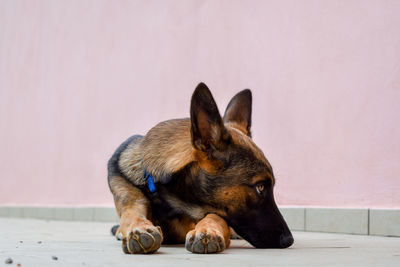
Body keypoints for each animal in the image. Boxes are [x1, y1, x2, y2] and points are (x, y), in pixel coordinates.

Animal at [108, 82, 292, 254]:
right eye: (260, 187)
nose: (289, 240)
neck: (166, 195)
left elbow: (215, 216)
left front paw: (208, 229)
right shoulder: (131, 198)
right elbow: (131, 215)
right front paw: (138, 228)